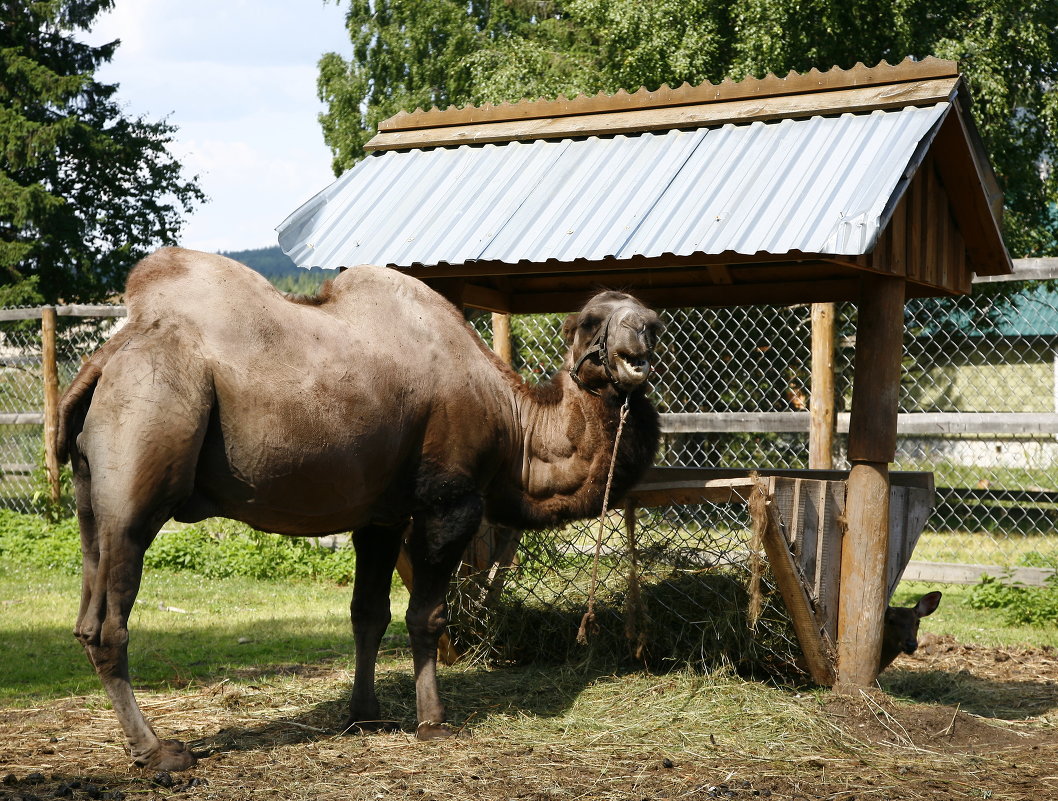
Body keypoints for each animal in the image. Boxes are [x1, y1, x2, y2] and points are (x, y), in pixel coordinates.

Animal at [57, 248, 660, 770]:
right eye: (590, 320)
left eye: (643, 312)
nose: (647, 325)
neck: (515, 424)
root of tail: (107, 356)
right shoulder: (449, 500)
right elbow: (425, 616)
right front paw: (433, 723)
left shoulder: (381, 515)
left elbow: (368, 614)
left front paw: (365, 716)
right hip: (143, 457)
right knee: (111, 621)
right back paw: (158, 753)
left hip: (91, 497)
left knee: (87, 613)